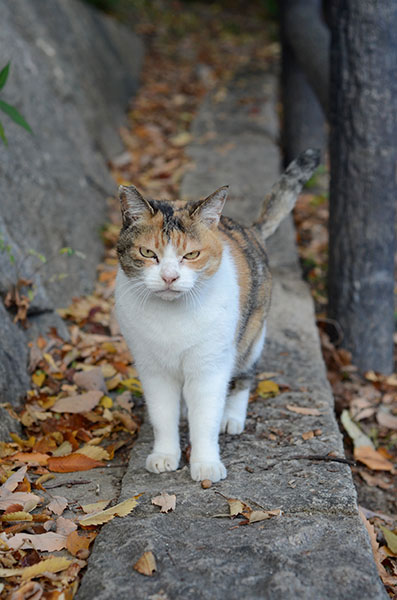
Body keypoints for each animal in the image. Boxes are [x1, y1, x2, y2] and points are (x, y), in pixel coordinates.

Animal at [114, 149, 318, 482]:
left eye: (191, 255)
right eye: (147, 253)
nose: (169, 277)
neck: (172, 317)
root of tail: (251, 230)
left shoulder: (210, 366)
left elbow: (206, 419)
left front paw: (206, 463)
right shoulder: (152, 368)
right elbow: (162, 415)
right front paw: (165, 455)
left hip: (250, 337)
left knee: (243, 377)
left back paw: (231, 417)